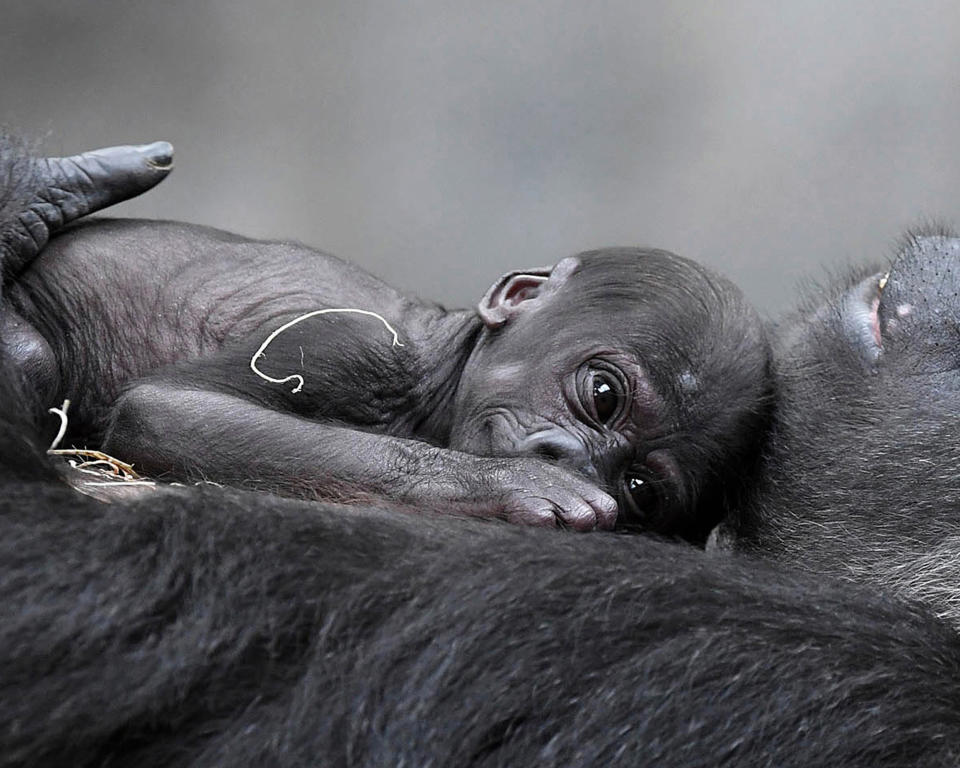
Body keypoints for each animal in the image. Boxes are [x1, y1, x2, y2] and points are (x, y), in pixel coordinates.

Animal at [0, 141, 764, 544]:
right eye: (602, 395)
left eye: (638, 487)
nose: (570, 458)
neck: (439, 368)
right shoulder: (350, 343)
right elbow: (167, 408)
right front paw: (519, 484)